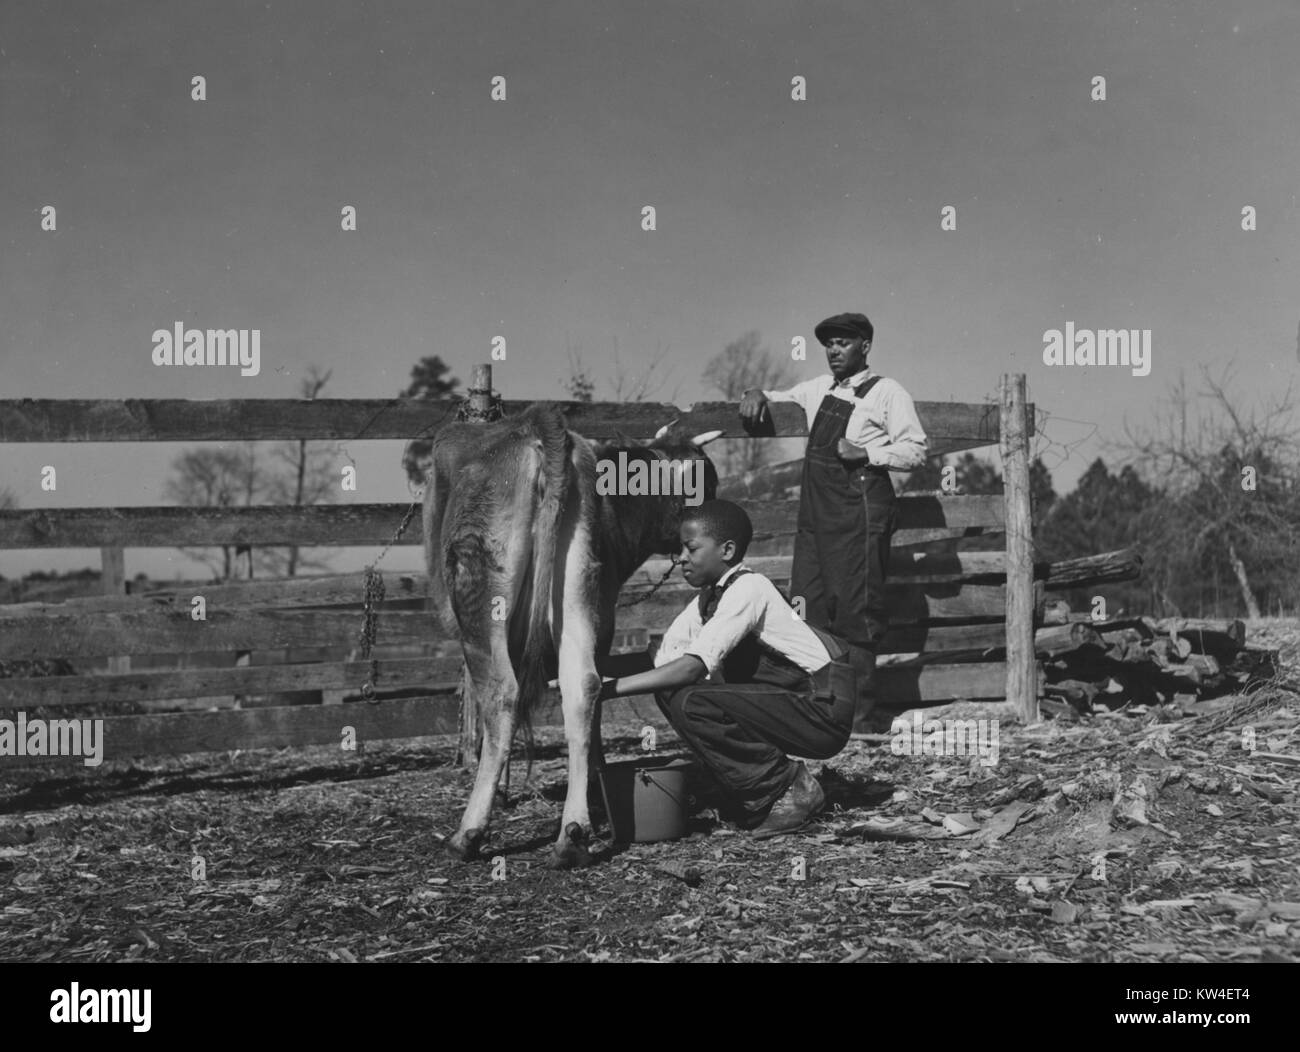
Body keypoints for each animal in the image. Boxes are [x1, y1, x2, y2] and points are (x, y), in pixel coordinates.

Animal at [418, 405, 717, 863]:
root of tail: (535, 426)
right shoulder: (604, 619)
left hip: (481, 600)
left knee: (503, 692)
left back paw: (469, 832)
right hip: (575, 586)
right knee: (582, 686)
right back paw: (573, 833)